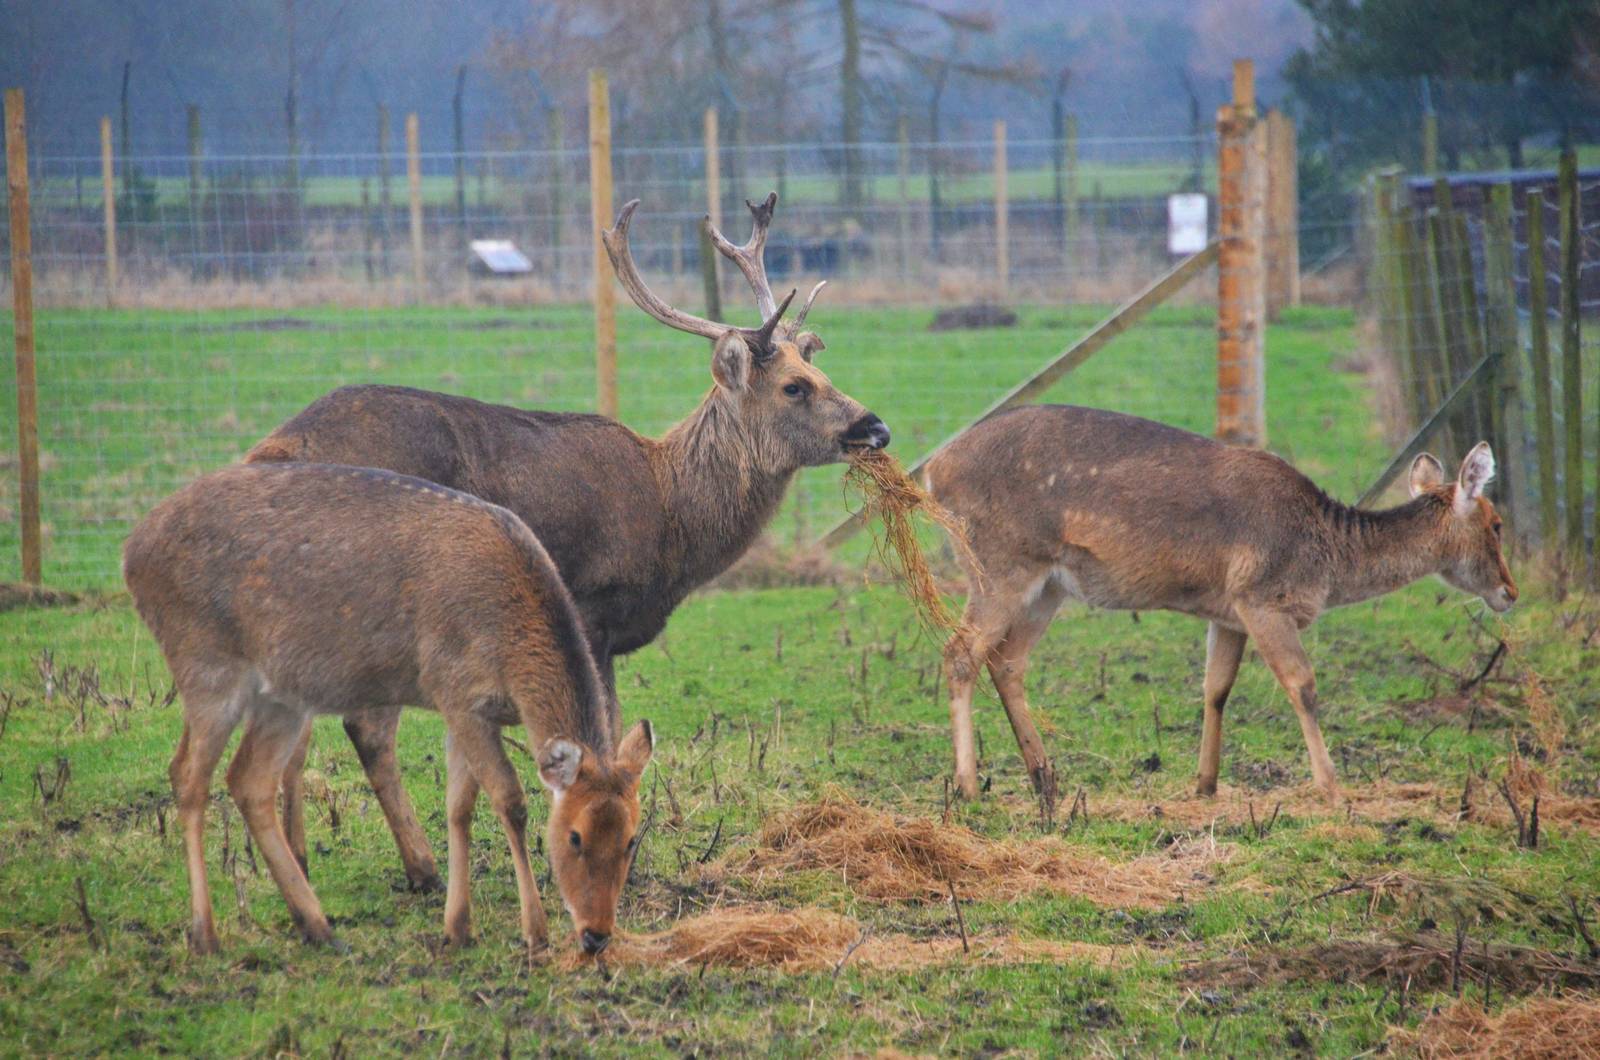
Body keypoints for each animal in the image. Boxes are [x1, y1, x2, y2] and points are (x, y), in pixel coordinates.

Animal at [123, 462, 656, 958]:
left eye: (632, 837)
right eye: (574, 836)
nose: (596, 935)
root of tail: (130, 553)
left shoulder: (464, 709)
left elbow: (459, 806)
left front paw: (457, 928)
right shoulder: (455, 687)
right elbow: (510, 801)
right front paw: (535, 933)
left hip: (283, 695)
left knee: (247, 779)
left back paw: (318, 927)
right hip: (204, 663)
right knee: (187, 776)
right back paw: (205, 935)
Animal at [243, 192, 888, 893]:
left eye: (818, 371)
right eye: (795, 386)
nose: (875, 427)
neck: (668, 514)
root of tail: (273, 451)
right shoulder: (590, 606)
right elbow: (604, 730)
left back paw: (305, 864)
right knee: (364, 725)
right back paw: (421, 869)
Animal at [924, 405, 1517, 804]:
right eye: (1496, 523)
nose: (1510, 592)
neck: (1324, 563)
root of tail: (931, 473)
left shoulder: (1227, 611)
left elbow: (1216, 689)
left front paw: (1206, 783)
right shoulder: (1262, 596)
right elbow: (1302, 685)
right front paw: (1331, 789)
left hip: (1048, 585)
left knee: (1007, 660)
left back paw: (1044, 778)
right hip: (1000, 564)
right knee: (959, 653)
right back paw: (970, 785)